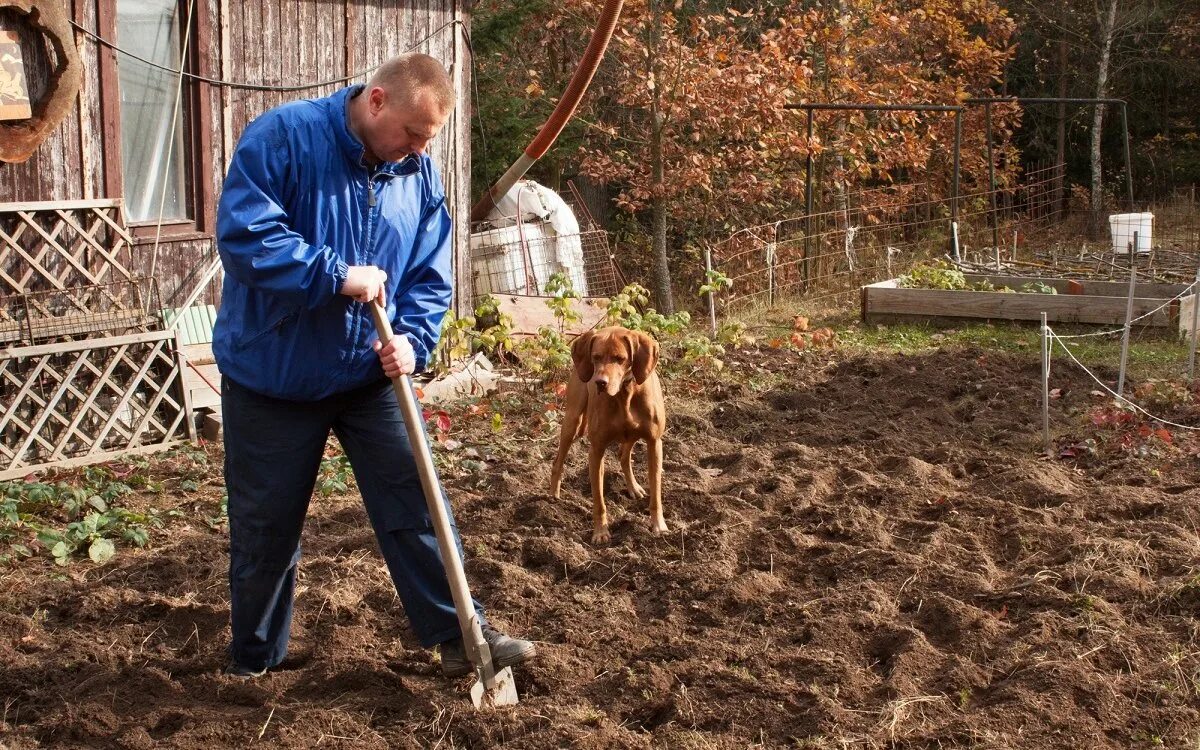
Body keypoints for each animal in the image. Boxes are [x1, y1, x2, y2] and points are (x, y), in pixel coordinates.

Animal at [549, 324, 667, 540]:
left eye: (619, 358)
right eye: (595, 357)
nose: (599, 382)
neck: (624, 394)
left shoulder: (654, 443)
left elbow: (655, 492)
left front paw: (658, 525)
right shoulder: (596, 449)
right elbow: (599, 500)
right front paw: (600, 532)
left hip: (631, 435)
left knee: (623, 455)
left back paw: (633, 487)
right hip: (572, 421)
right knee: (558, 460)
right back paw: (553, 494)